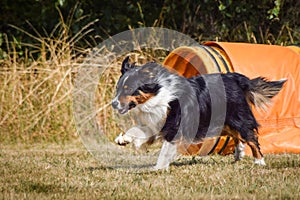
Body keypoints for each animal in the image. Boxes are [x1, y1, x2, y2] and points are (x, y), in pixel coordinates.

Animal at [112, 56, 286, 170]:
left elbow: (166, 148)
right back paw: (238, 155)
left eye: (128, 88)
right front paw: (123, 139)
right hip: (223, 121)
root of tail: (234, 78)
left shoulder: (174, 126)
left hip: (237, 117)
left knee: (250, 136)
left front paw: (158, 167)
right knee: (237, 136)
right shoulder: (155, 122)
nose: (113, 104)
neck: (157, 95)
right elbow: (137, 130)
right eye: (118, 88)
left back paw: (259, 162)